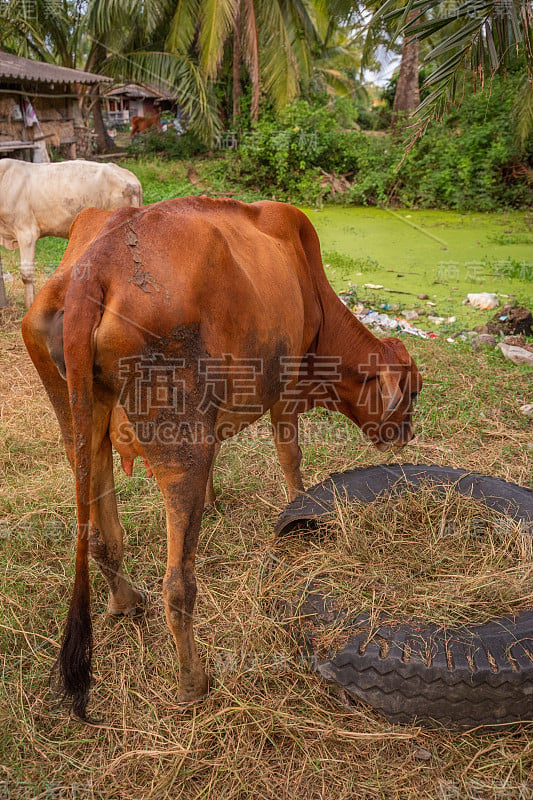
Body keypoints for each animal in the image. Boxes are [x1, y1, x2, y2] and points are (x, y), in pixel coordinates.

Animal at [20, 198, 422, 720]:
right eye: (412, 391)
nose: (405, 434)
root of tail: (97, 265)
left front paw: (213, 503)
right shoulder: (286, 383)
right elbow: (290, 455)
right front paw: (301, 510)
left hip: (81, 425)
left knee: (102, 538)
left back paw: (126, 601)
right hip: (178, 440)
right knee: (177, 584)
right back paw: (193, 682)